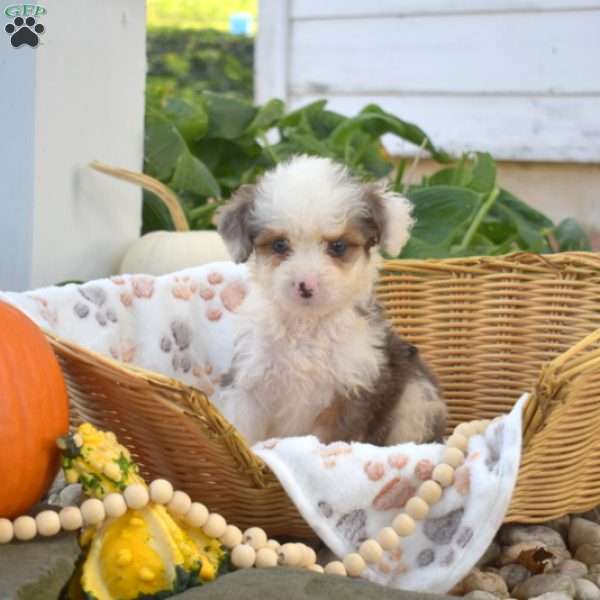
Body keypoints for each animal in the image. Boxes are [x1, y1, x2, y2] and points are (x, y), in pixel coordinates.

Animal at [216, 155, 446, 446]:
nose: (305, 285)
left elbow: (326, 440)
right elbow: (241, 429)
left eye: (338, 247)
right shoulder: (249, 382)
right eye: (279, 245)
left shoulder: (351, 392)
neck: (307, 325)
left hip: (416, 397)